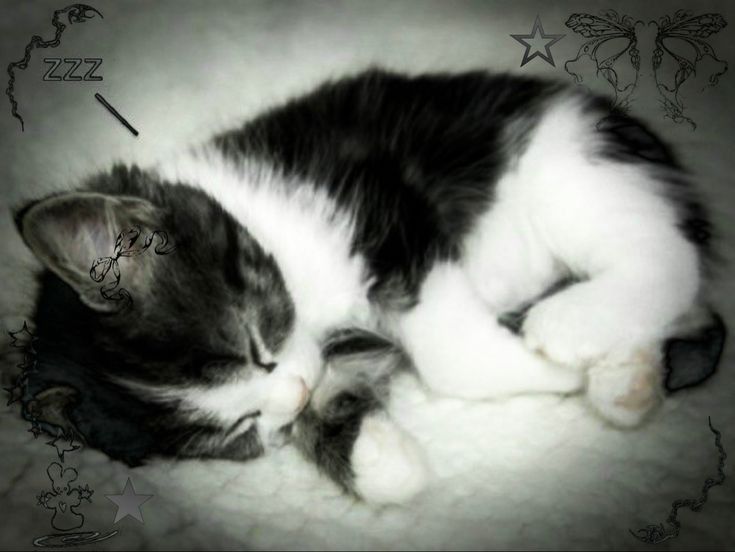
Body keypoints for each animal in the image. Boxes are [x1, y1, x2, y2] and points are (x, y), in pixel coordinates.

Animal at [12, 68, 724, 504]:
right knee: (702, 316)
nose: (292, 395)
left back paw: (575, 329)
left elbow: (446, 355)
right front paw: (381, 460)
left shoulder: (386, 205)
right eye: (237, 431)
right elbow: (350, 380)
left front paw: (552, 366)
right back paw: (629, 378)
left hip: (570, 166)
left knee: (668, 257)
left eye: (253, 347)